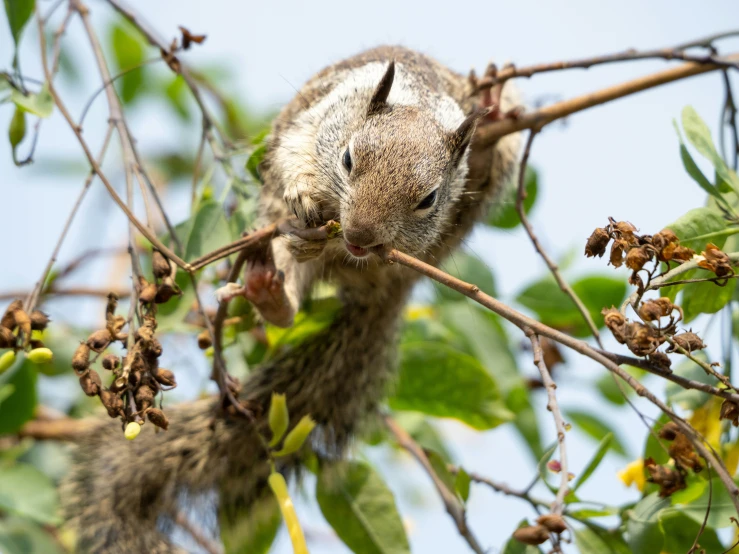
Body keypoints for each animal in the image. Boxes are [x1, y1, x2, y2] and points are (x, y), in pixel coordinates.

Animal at [62, 45, 520, 548]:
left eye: (429, 199)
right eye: (347, 159)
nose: (360, 236)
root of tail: (381, 297)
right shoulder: (314, 121)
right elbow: (293, 155)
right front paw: (303, 192)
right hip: (274, 228)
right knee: (287, 279)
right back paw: (273, 289)